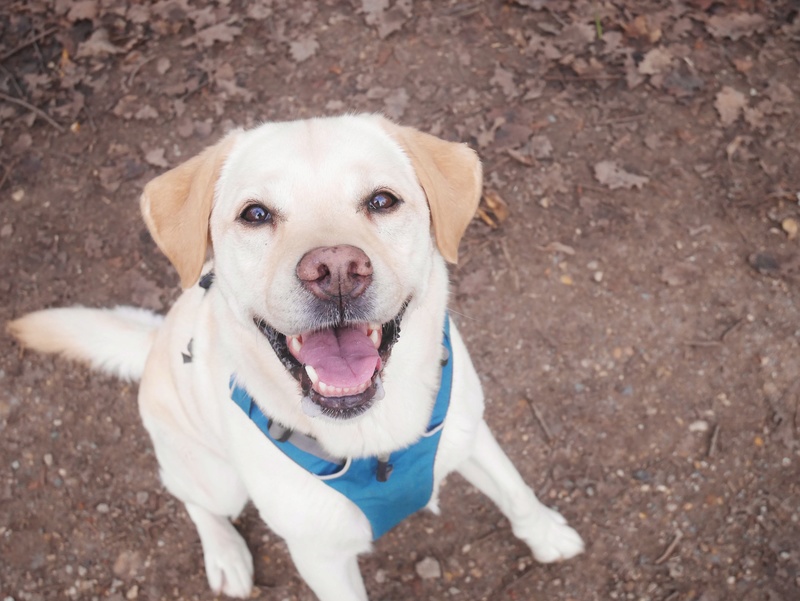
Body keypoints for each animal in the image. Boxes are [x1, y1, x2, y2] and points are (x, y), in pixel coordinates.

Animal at [9, 115, 584, 596]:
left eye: (382, 201)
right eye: (255, 214)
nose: (336, 269)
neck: (373, 436)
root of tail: (153, 345)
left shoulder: (469, 431)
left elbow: (516, 490)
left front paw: (546, 535)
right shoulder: (320, 558)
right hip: (215, 479)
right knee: (190, 498)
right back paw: (226, 555)